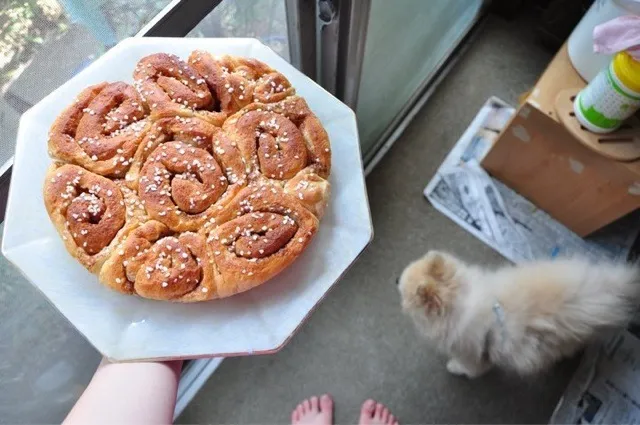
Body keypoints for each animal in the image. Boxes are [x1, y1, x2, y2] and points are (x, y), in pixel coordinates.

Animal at [400, 250, 640, 376]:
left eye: (402, 289)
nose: (394, 279)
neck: (459, 301)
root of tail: (605, 289)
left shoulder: (470, 351)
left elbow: (470, 367)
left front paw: (455, 368)